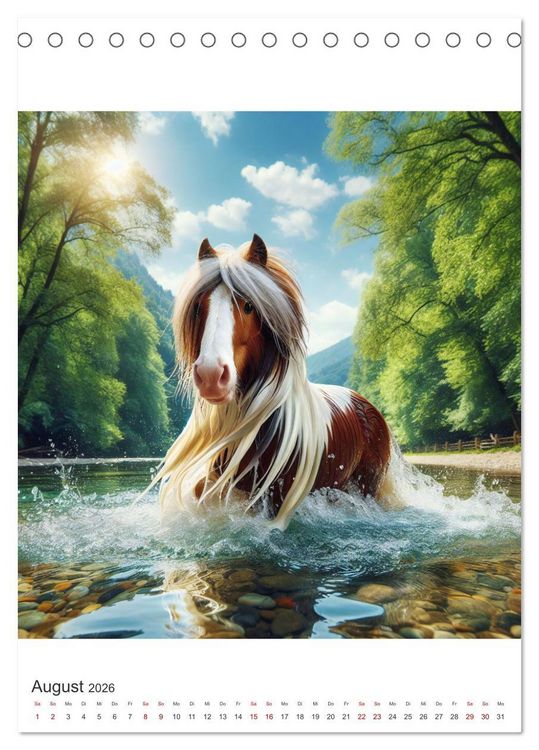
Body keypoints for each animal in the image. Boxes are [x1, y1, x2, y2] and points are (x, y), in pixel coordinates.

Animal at [156, 234, 391, 530]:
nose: (211, 375)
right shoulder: (217, 486)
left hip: (367, 488)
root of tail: (362, 400)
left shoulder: (278, 504)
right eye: (199, 307)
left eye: (248, 306)